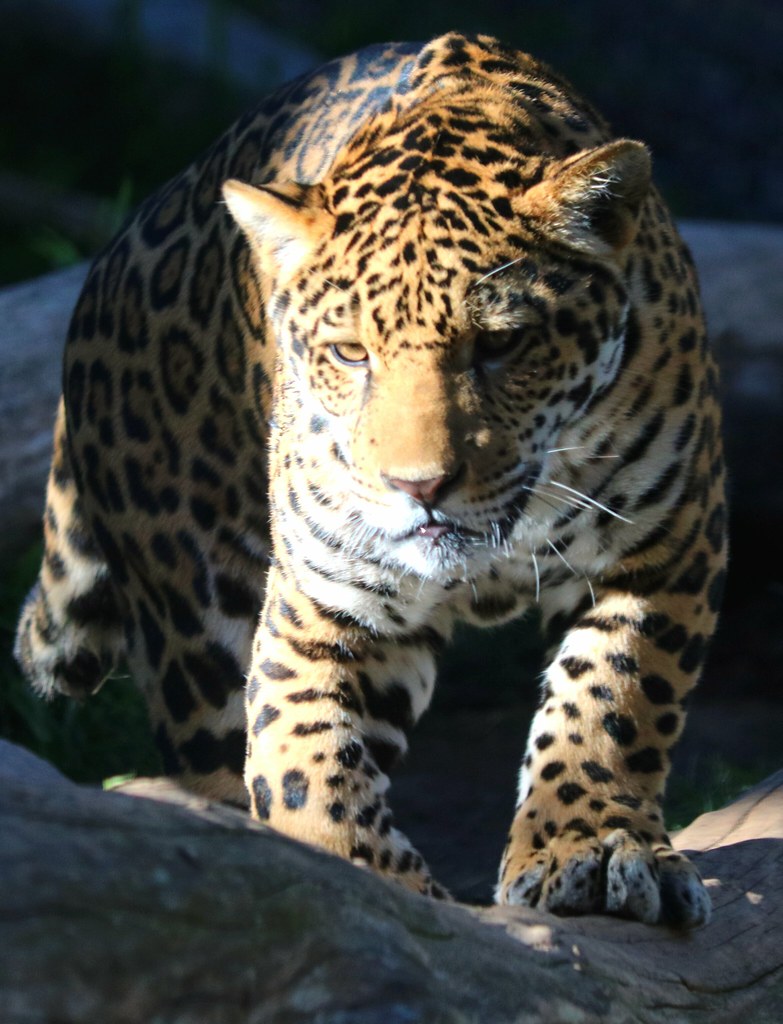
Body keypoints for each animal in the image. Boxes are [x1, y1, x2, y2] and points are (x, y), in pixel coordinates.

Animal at [15, 32, 727, 926]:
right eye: (350, 353)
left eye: (501, 344)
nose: (418, 487)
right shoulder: (319, 613)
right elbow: (303, 771)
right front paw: (375, 895)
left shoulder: (663, 543)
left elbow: (611, 700)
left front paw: (590, 845)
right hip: (194, 632)